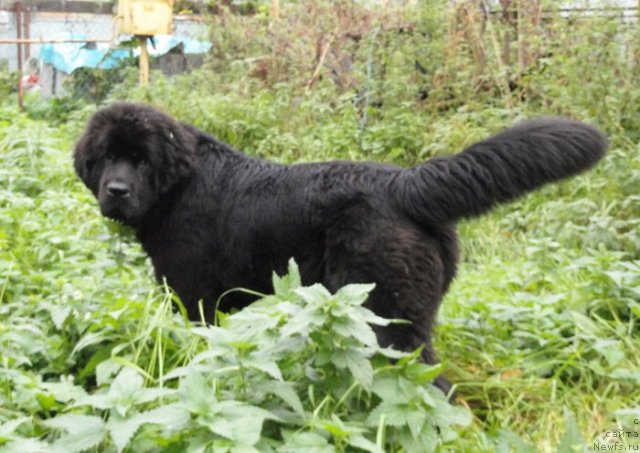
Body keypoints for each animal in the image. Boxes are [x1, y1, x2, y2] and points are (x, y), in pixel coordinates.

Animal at [72, 101, 608, 388]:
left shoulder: (193, 299)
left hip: (388, 317)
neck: (178, 186)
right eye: (107, 157)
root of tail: (406, 184)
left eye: (143, 161)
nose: (116, 191)